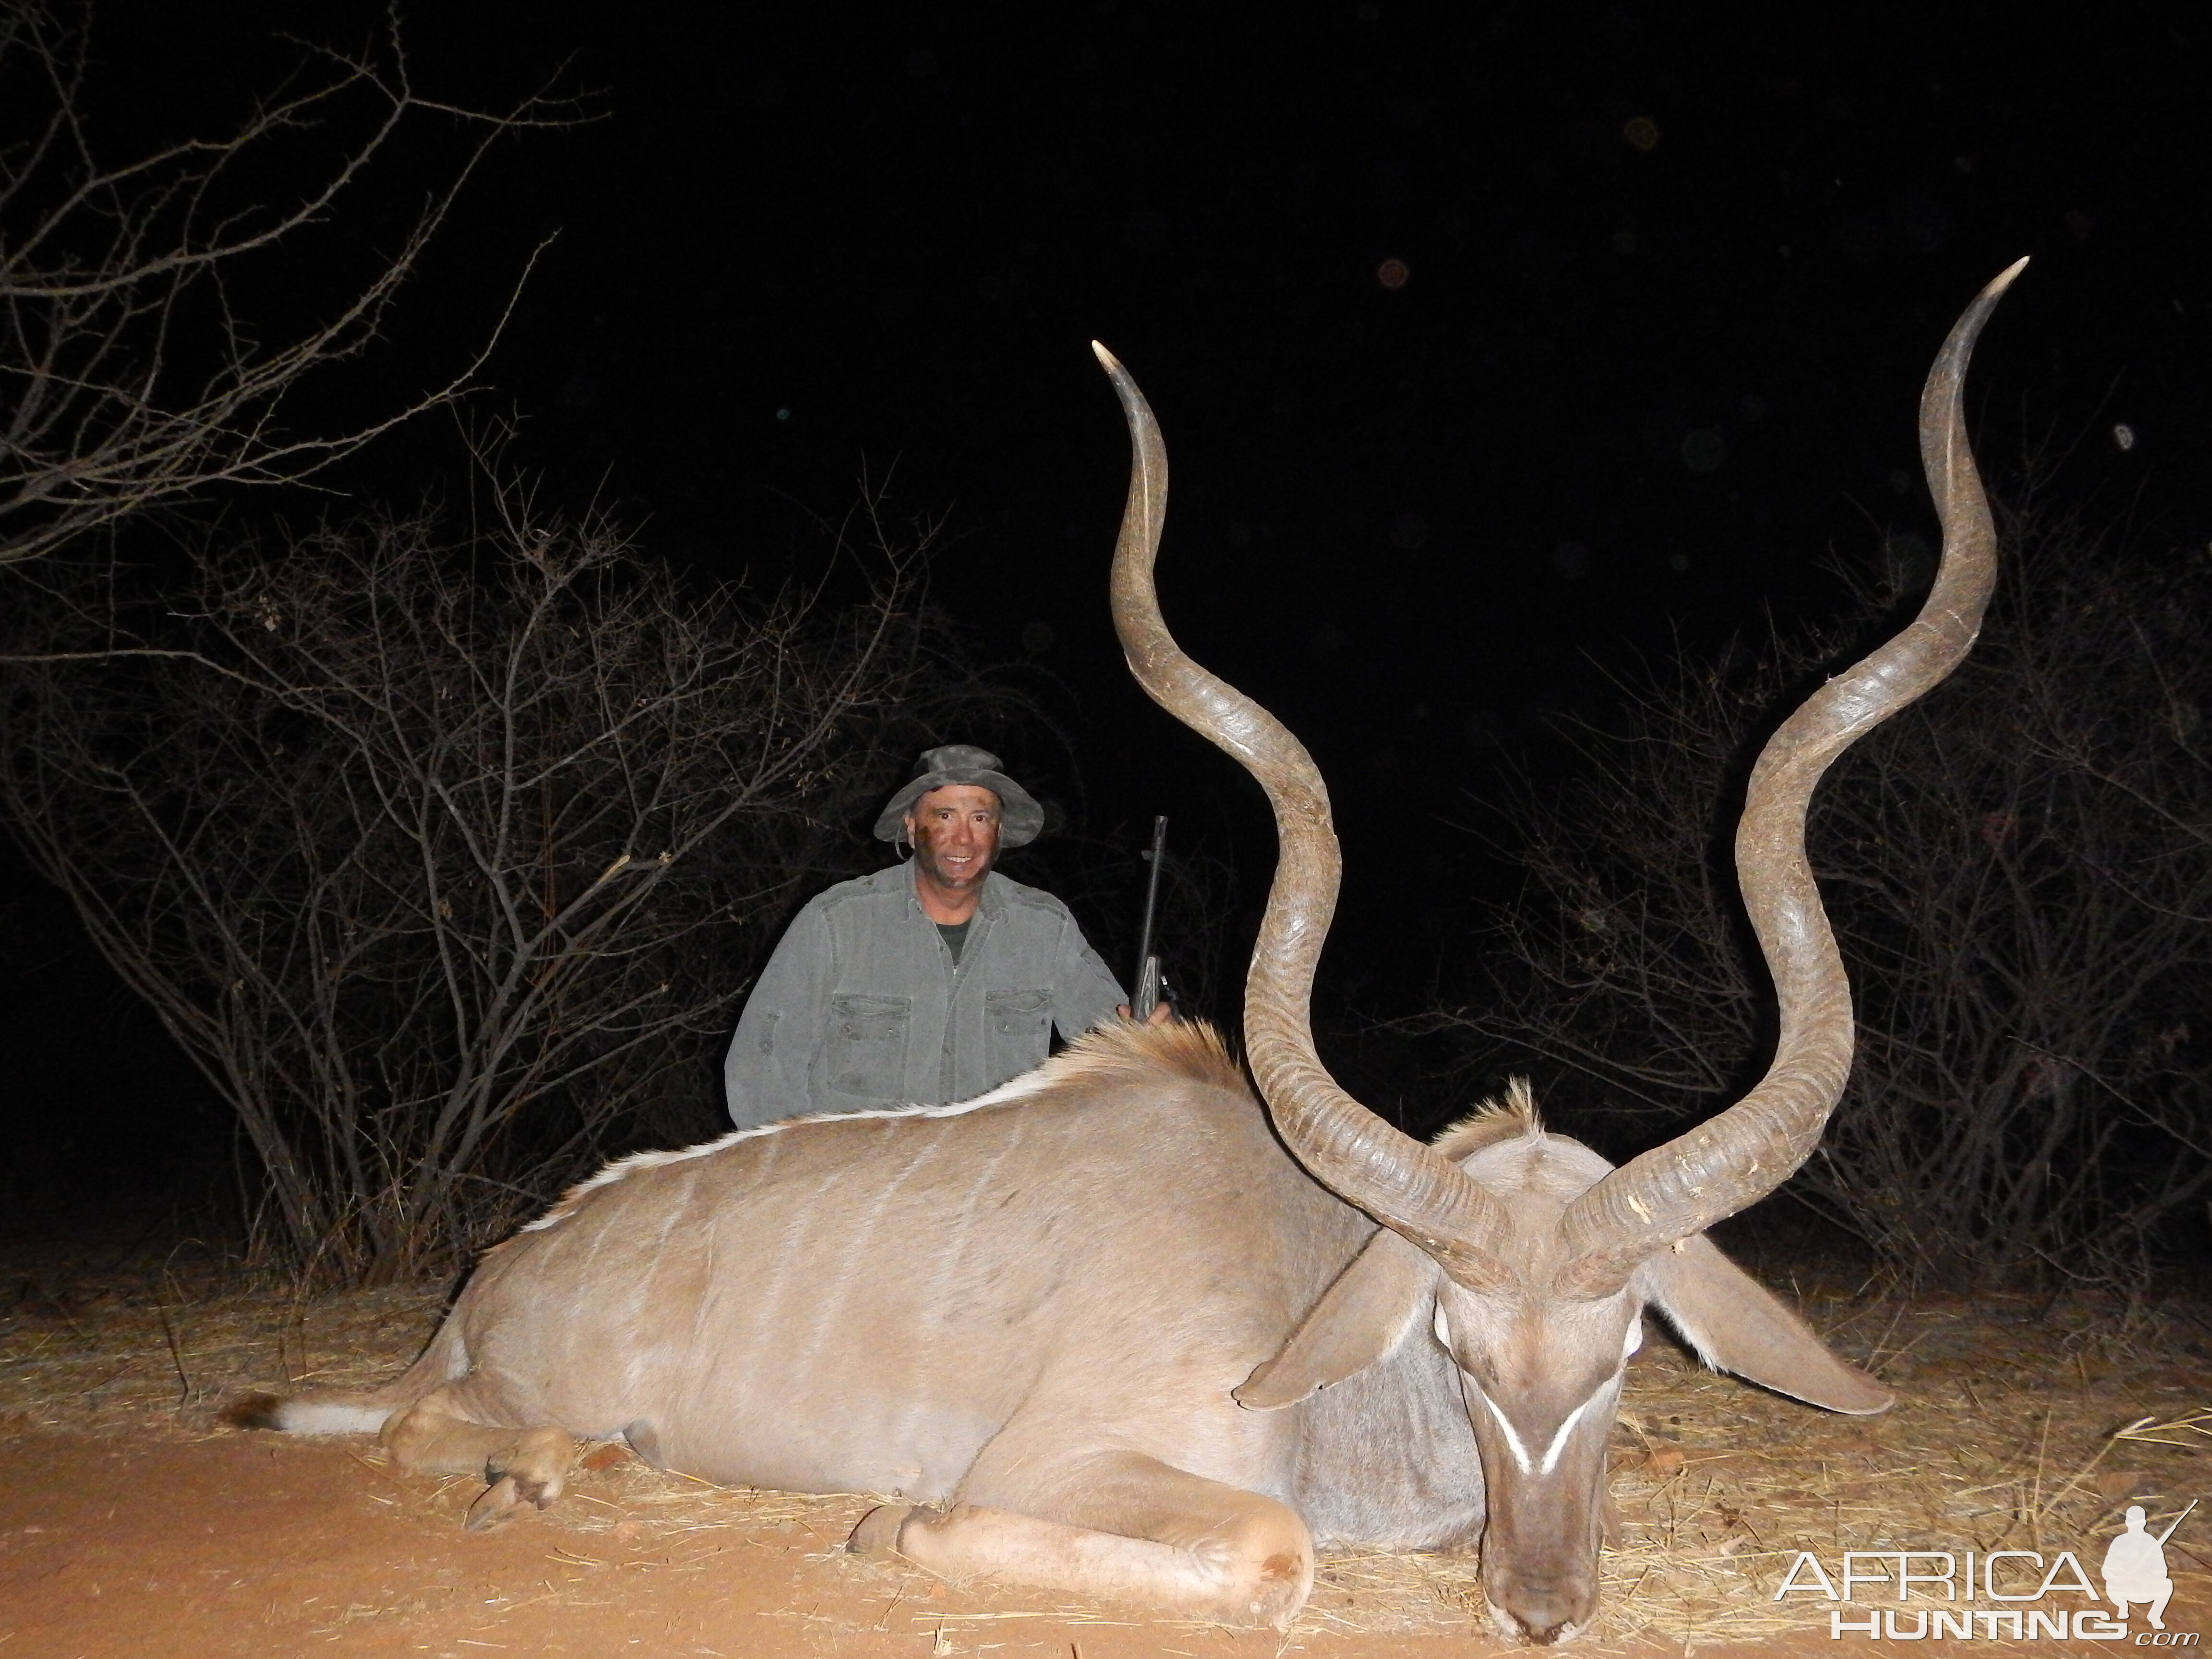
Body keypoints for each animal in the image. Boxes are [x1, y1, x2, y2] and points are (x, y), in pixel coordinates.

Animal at [233, 266, 2026, 1646]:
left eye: (1631, 1342)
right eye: (1450, 1341)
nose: (1536, 1605)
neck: (1300, 1279)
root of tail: (494, 1274)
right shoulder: (1067, 1461)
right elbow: (1263, 1548)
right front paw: (889, 1529)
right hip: (503, 1395)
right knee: (421, 1430)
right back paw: (531, 1468)